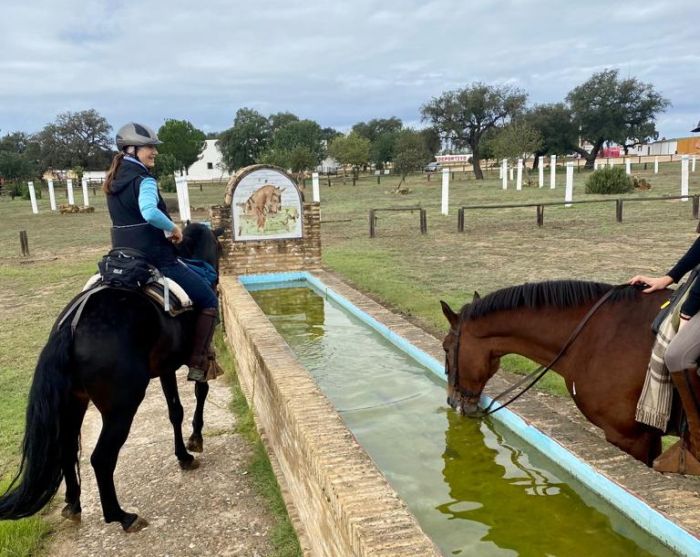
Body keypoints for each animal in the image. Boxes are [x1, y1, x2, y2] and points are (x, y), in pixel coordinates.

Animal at [0, 220, 221, 528]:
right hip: (120, 408)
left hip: (75, 400)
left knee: (67, 445)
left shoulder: (166, 368)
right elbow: (201, 391)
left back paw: (73, 504)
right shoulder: (199, 356)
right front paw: (196, 439)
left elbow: (175, 411)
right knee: (101, 458)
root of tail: (72, 326)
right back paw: (121, 516)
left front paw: (184, 455)